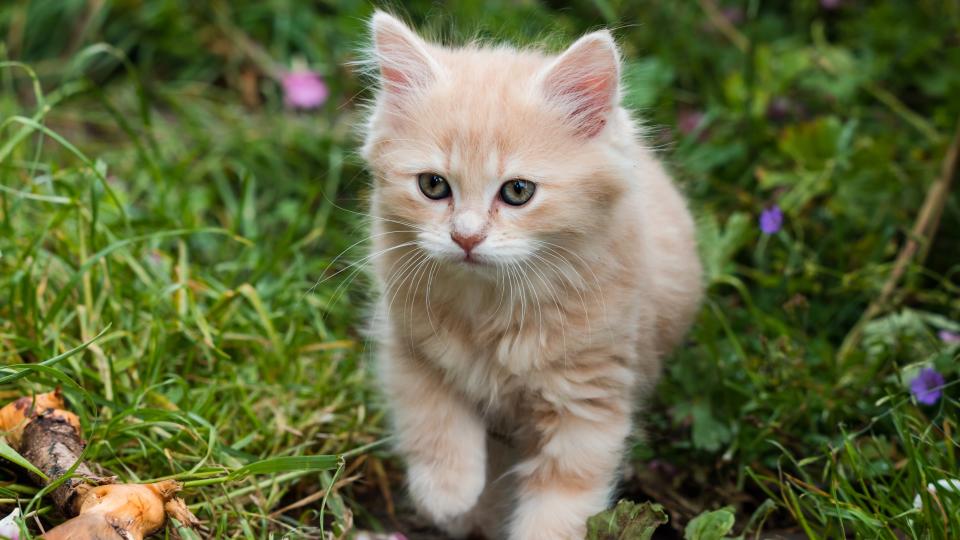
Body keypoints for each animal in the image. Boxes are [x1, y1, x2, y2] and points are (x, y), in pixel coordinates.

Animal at [360, 12, 704, 540]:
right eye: (433, 186)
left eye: (518, 191)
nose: (465, 237)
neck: (490, 307)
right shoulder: (408, 346)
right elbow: (431, 414)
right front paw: (449, 491)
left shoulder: (588, 399)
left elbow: (561, 504)